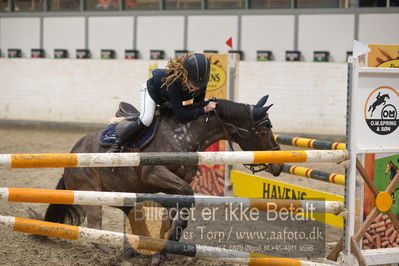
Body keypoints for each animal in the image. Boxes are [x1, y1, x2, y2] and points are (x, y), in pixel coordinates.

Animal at [42, 96, 282, 264]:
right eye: (264, 130)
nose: (278, 165)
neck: (186, 133)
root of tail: (72, 153)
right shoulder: (156, 174)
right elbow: (186, 198)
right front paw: (168, 244)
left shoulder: (175, 183)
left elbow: (176, 211)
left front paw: (165, 249)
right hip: (91, 194)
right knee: (95, 228)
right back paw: (113, 255)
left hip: (124, 196)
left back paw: (136, 250)